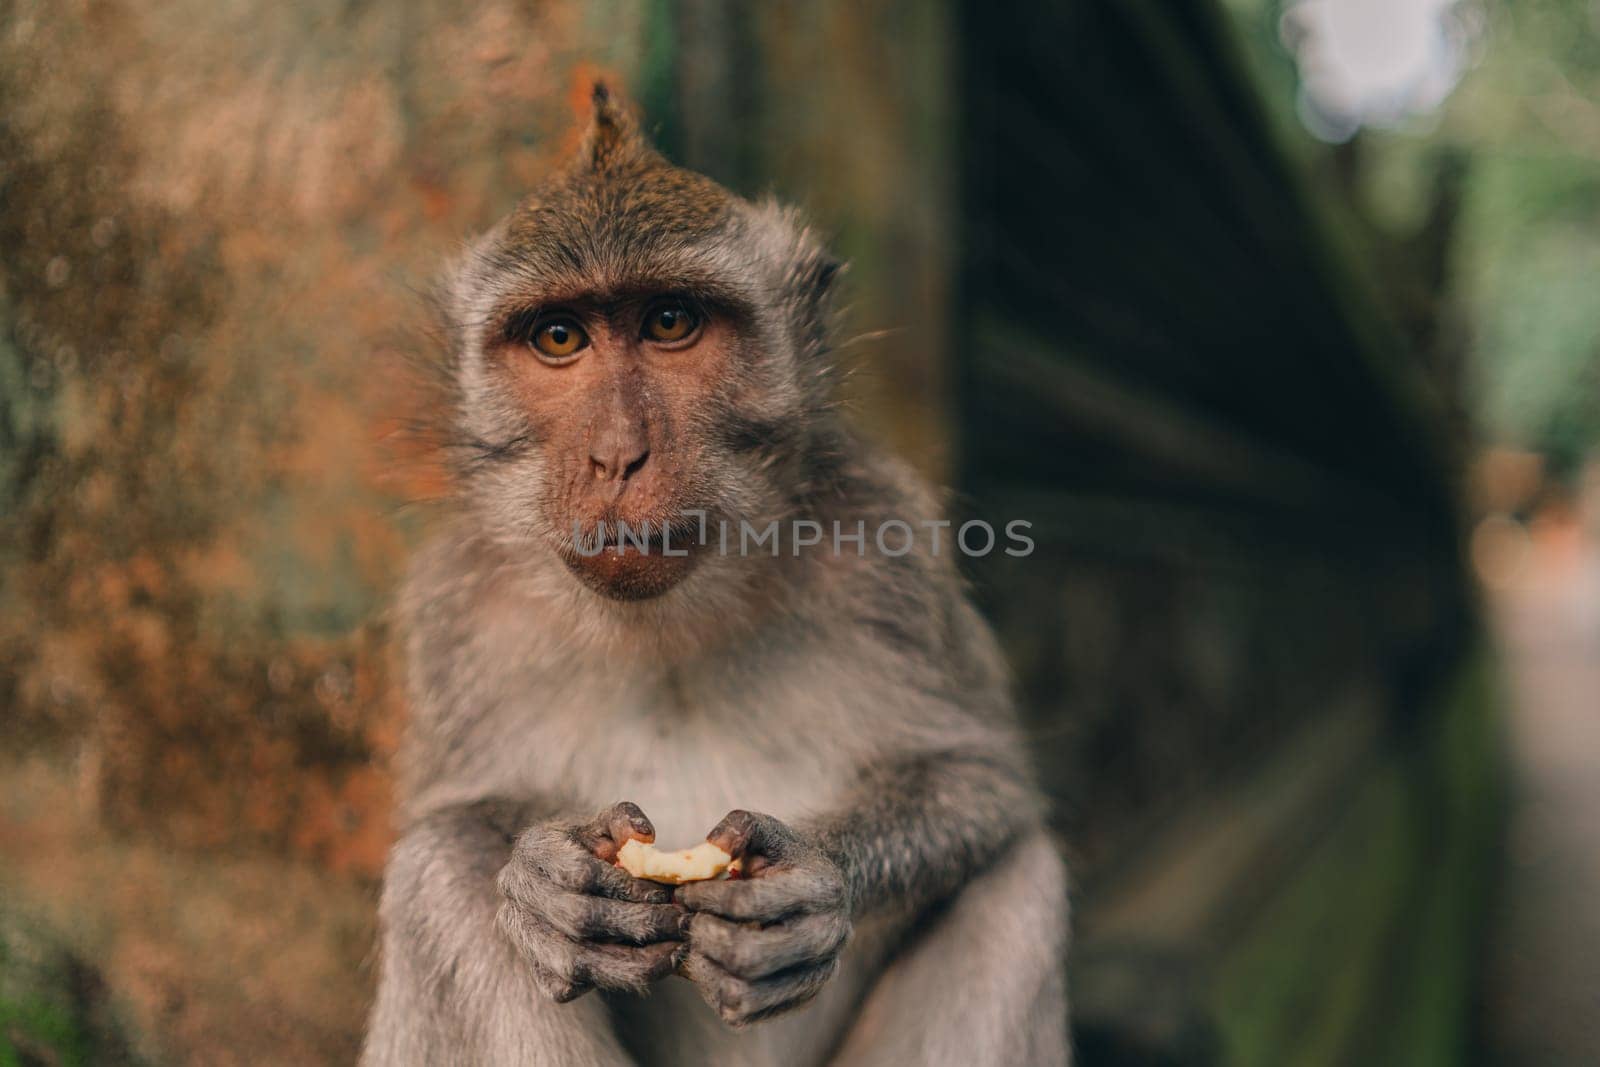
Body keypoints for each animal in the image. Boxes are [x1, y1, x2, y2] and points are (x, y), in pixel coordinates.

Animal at [361, 85, 1062, 1067]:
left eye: (669, 323)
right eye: (559, 337)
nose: (617, 455)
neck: (672, 626)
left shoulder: (885, 553)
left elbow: (977, 778)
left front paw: (815, 884)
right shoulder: (457, 609)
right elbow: (454, 818)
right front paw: (541, 878)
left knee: (1014, 878)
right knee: (438, 875)